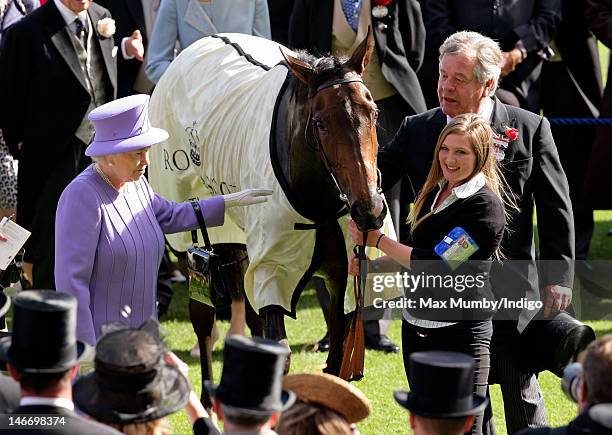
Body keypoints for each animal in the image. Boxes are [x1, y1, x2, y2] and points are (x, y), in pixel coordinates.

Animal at [148, 29, 384, 410]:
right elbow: (280, 350)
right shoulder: (274, 269)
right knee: (204, 320)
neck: (319, 202)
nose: (369, 208)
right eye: (321, 123)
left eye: (373, 112)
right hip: (190, 237)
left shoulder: (342, 278)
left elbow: (335, 360)